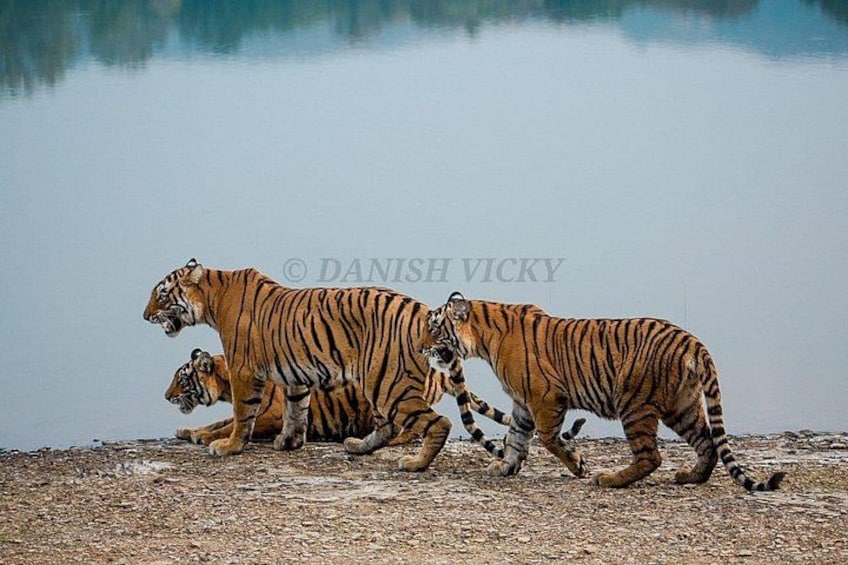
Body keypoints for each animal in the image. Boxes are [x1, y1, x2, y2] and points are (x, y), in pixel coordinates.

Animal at [143, 259, 511, 471]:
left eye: (161, 295)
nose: (145, 316)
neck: (214, 298)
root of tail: (424, 311)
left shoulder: (244, 371)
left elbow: (240, 416)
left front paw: (228, 447)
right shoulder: (294, 376)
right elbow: (295, 411)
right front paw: (288, 443)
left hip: (387, 386)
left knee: (435, 423)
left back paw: (415, 463)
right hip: (378, 383)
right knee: (388, 427)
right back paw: (358, 447)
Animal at [420, 291, 786, 491]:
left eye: (434, 327)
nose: (422, 348)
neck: (483, 339)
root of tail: (691, 340)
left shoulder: (545, 397)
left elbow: (548, 438)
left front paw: (578, 465)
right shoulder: (523, 403)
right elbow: (516, 438)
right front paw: (504, 467)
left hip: (634, 402)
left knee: (651, 456)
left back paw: (609, 479)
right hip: (681, 406)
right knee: (707, 442)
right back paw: (689, 476)